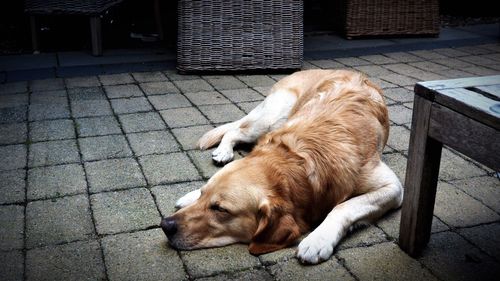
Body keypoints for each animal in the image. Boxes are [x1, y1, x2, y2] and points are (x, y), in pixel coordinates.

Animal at [160, 69, 402, 264]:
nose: (165, 225)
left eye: (220, 209)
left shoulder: (394, 188)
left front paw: (318, 239)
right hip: (269, 118)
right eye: (203, 194)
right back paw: (223, 152)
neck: (300, 158)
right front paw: (192, 194)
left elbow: (343, 207)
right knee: (235, 130)